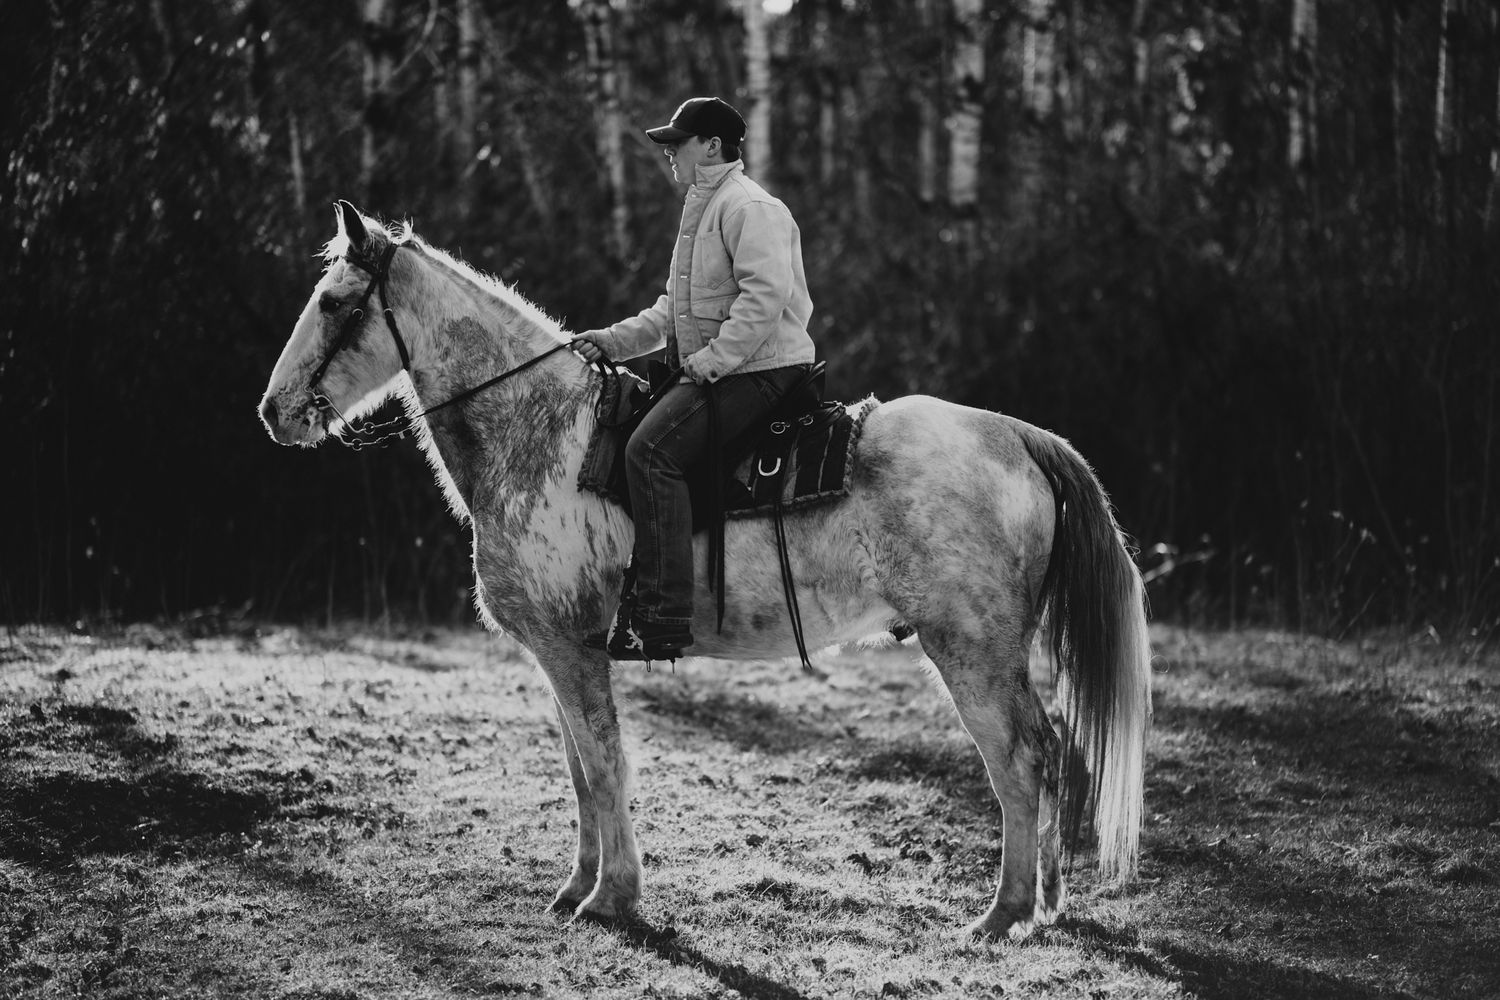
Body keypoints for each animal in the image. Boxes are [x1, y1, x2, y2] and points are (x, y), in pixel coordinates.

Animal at [258, 201, 1151, 941]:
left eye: (334, 301)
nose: (273, 410)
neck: (541, 434)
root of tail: (1015, 435)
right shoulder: (558, 652)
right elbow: (579, 772)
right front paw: (577, 887)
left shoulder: (571, 650)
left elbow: (606, 765)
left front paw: (611, 898)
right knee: (1050, 750)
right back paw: (1045, 905)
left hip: (971, 652)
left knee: (1019, 761)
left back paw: (1003, 914)